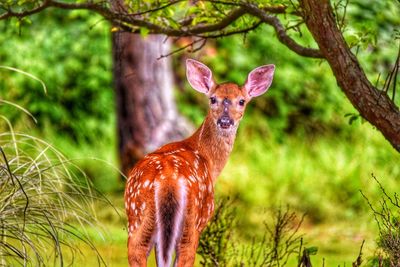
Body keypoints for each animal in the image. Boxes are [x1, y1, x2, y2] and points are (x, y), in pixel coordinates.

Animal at [125, 59, 276, 267]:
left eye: (241, 101)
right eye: (213, 99)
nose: (225, 121)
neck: (207, 159)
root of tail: (167, 180)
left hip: (137, 215)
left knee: (137, 252)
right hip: (191, 220)